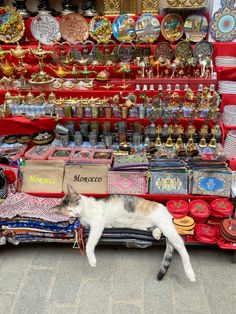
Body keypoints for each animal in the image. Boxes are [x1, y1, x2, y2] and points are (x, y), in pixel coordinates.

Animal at [55, 184, 195, 282]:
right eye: (68, 211)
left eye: (75, 203)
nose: (76, 213)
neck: (84, 212)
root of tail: (165, 209)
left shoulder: (98, 223)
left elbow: (89, 244)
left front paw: (92, 261)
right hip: (145, 226)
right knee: (158, 230)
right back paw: (156, 233)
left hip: (166, 226)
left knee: (182, 248)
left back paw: (190, 273)